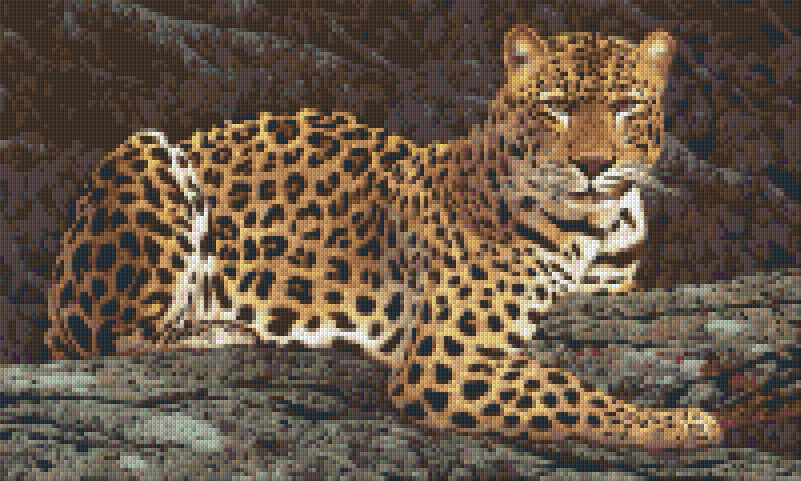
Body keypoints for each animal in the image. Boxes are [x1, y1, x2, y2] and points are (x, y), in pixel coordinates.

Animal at [46, 25, 723, 450]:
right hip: (145, 156)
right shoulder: (450, 356)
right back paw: (228, 331)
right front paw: (683, 425)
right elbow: (567, 392)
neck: (596, 227)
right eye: (554, 106)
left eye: (628, 107)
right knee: (113, 339)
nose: (594, 165)